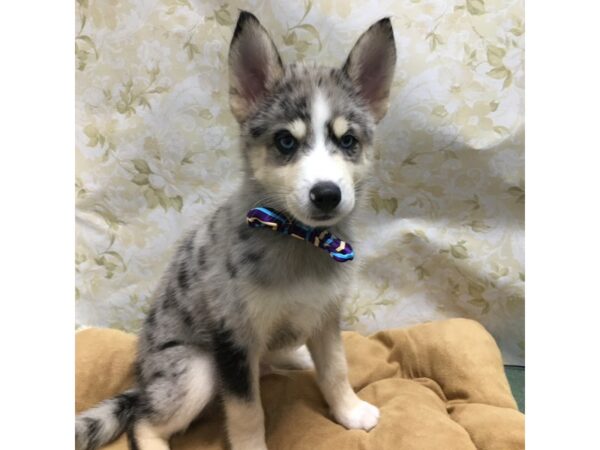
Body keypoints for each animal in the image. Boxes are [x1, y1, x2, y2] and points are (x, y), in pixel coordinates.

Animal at [77, 10, 396, 450]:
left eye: (348, 140)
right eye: (285, 141)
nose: (327, 194)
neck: (297, 239)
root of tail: (144, 379)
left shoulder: (325, 316)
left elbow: (336, 369)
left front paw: (349, 410)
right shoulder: (233, 341)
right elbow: (247, 411)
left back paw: (293, 356)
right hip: (195, 371)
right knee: (143, 418)